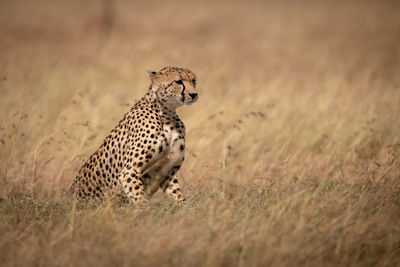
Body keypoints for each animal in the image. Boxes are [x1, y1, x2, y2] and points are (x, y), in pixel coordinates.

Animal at [71, 66, 199, 205]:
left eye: (193, 81)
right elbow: (139, 197)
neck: (168, 114)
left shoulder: (168, 171)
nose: (194, 94)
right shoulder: (129, 171)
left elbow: (177, 195)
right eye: (178, 81)